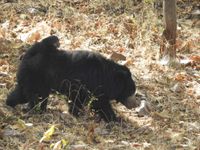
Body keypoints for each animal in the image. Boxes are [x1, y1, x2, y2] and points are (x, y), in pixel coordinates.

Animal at [6, 35, 138, 122]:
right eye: (131, 91)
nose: (135, 105)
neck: (107, 77)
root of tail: (30, 53)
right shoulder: (88, 84)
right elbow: (97, 103)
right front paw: (115, 119)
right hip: (37, 76)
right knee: (37, 96)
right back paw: (38, 110)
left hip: (30, 77)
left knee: (21, 93)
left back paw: (10, 103)